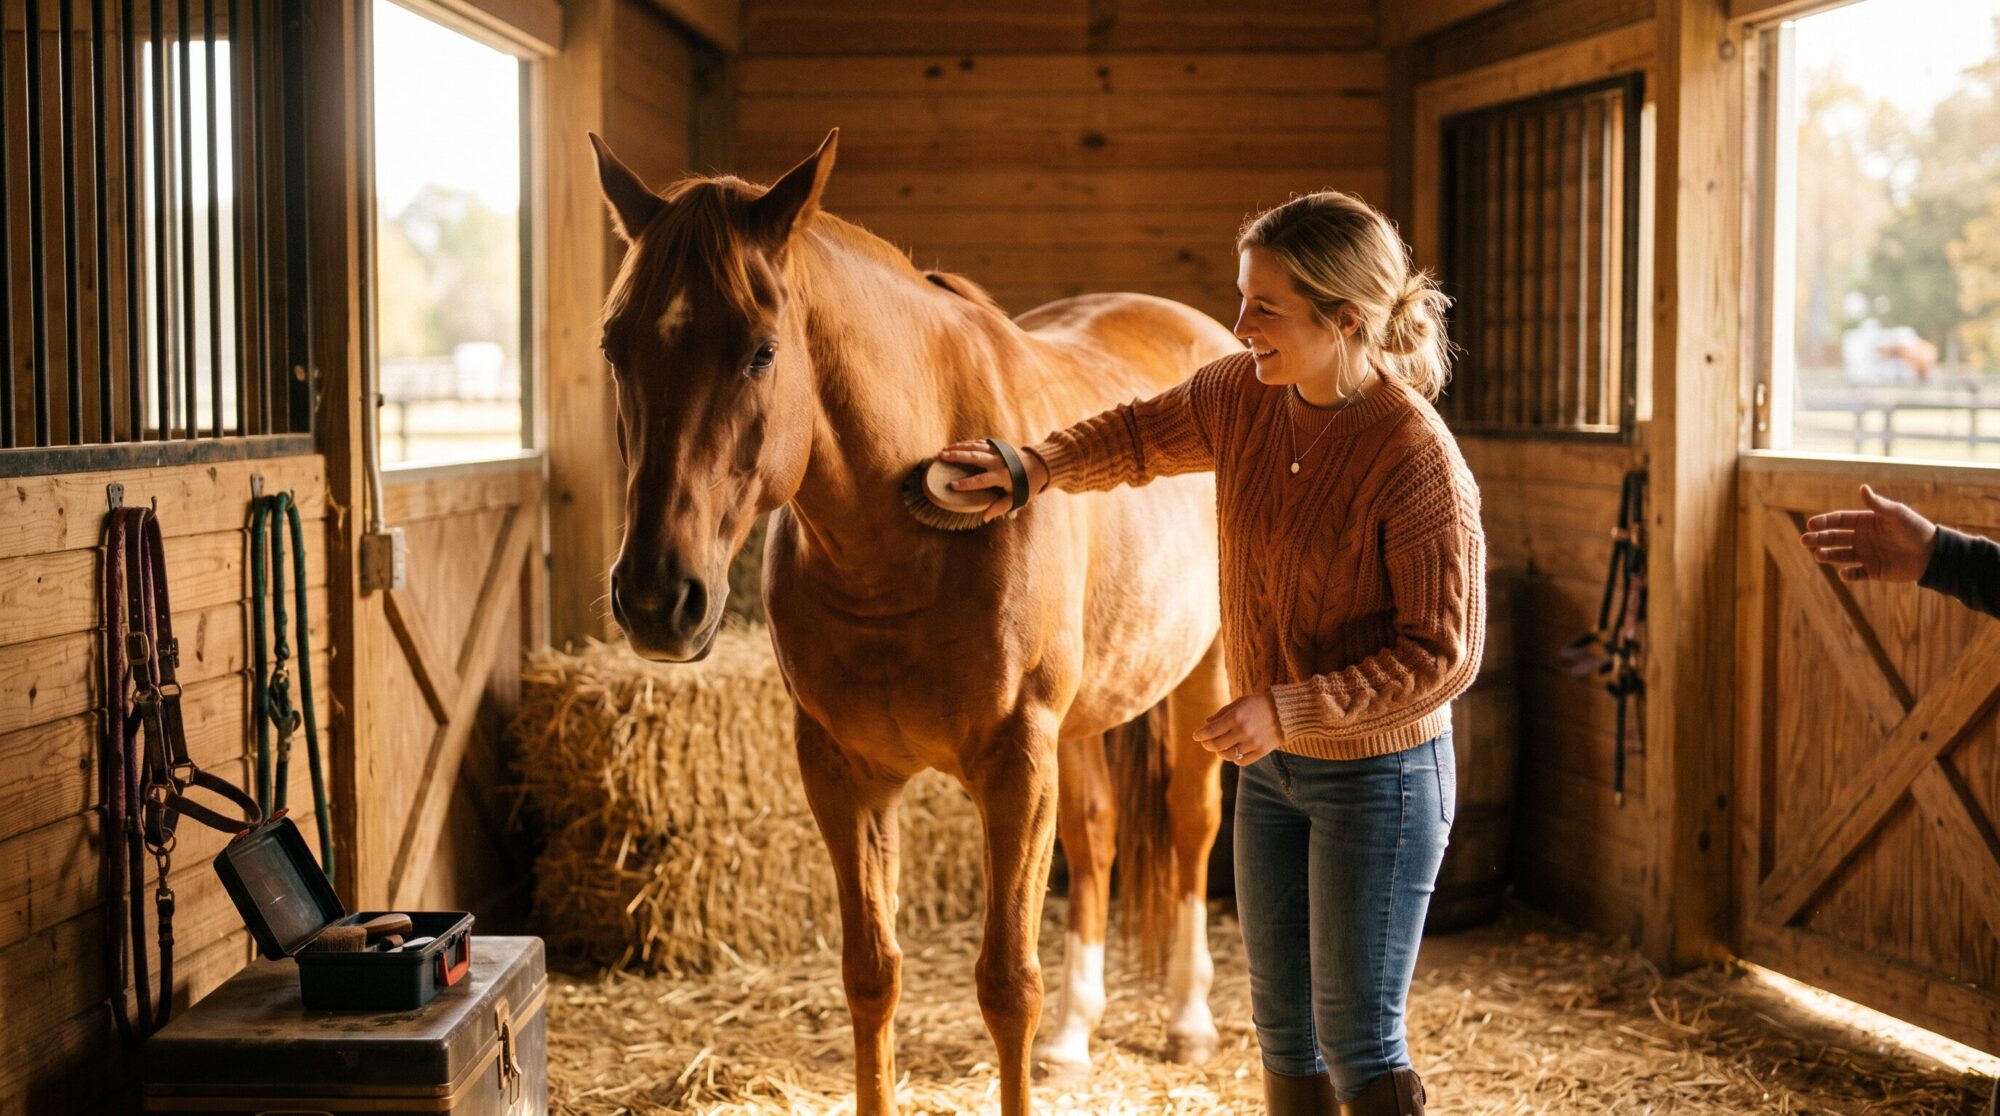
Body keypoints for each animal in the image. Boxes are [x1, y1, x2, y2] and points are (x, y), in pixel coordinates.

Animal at [592, 128, 1237, 1116]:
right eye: (615, 345)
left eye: (760, 352)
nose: (660, 598)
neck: (899, 544)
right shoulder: (843, 774)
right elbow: (872, 974)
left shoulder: (1015, 766)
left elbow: (1007, 984)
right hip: (1080, 723)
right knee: (1094, 838)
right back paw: (1075, 1038)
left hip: (1206, 678)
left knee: (1192, 824)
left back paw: (1189, 1020)